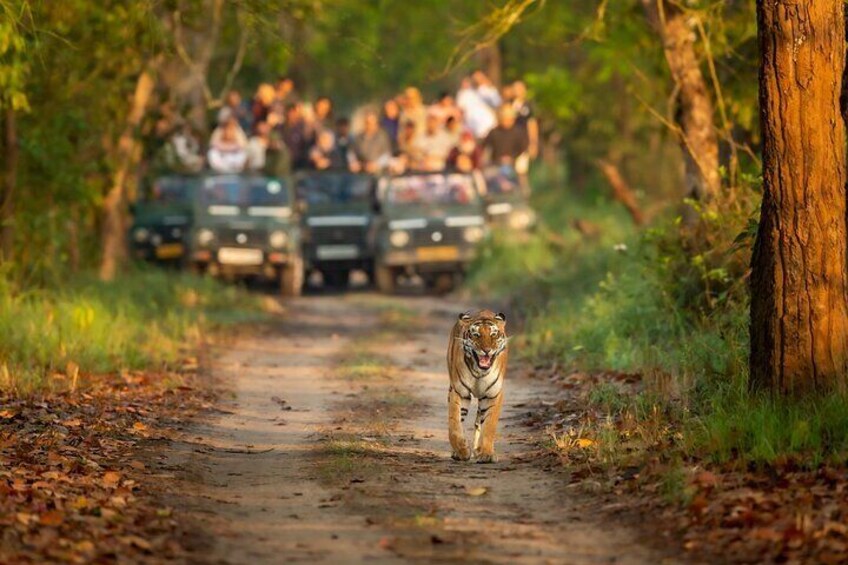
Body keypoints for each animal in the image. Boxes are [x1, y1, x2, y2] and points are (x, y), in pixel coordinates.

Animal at [446, 310, 508, 463]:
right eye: (476, 335)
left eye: (494, 335)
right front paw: (462, 451)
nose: (487, 350)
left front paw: (486, 453)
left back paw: (478, 449)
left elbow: (489, 425)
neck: (479, 372)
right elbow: (454, 424)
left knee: (479, 422)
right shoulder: (459, 392)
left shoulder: (493, 394)